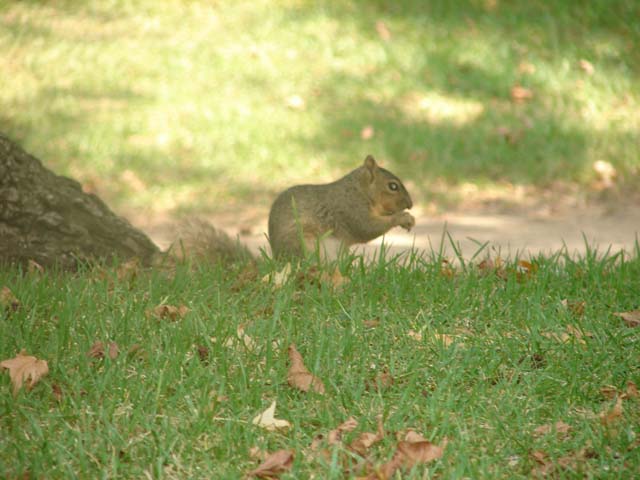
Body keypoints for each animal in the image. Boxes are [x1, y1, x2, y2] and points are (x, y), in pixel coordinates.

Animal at [173, 155, 414, 262]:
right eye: (393, 186)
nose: (411, 204)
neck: (359, 190)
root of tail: (279, 262)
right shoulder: (349, 208)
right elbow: (366, 228)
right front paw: (402, 218)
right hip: (307, 244)